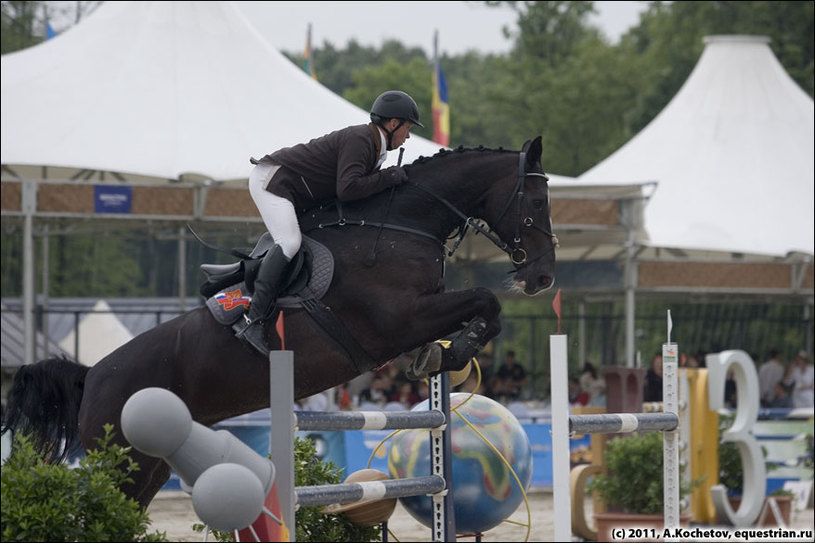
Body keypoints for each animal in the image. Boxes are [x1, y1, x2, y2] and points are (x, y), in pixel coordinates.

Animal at [0, 137, 556, 510]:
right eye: (535, 202)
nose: (543, 277)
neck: (402, 224)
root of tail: (91, 375)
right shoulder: (399, 318)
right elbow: (485, 300)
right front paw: (453, 351)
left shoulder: (418, 313)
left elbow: (483, 308)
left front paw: (440, 355)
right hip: (123, 464)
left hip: (151, 466)